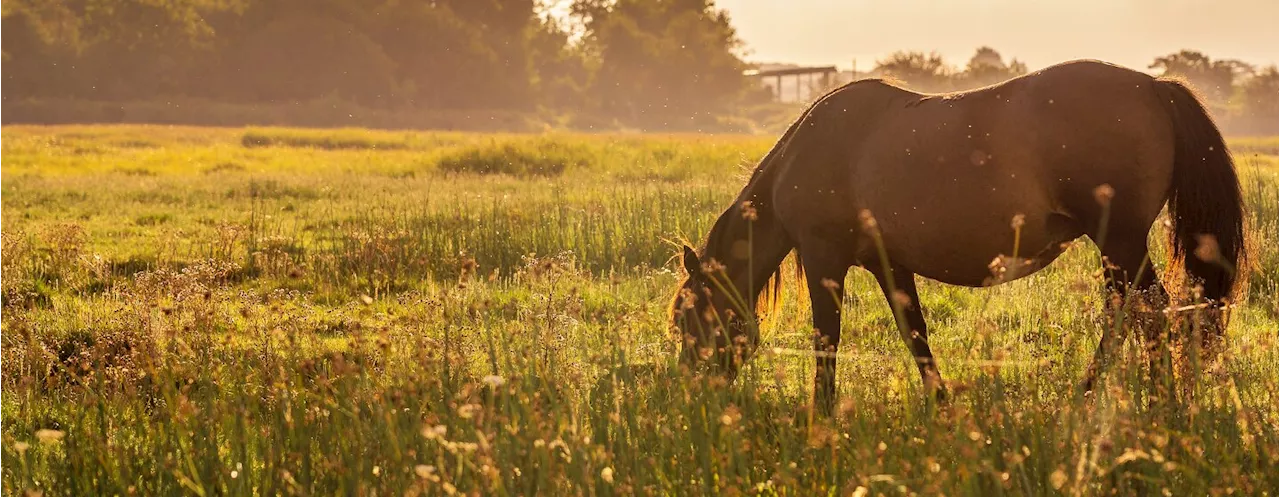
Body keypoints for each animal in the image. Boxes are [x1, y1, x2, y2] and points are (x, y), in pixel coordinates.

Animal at [670, 58, 1249, 412]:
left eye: (687, 320)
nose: (694, 394)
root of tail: (1154, 86)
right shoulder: (888, 263)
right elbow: (915, 332)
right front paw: (942, 404)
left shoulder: (823, 259)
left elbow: (826, 339)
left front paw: (824, 415)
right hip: (1118, 249)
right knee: (1133, 314)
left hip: (1120, 243)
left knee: (1149, 314)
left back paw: (1138, 401)